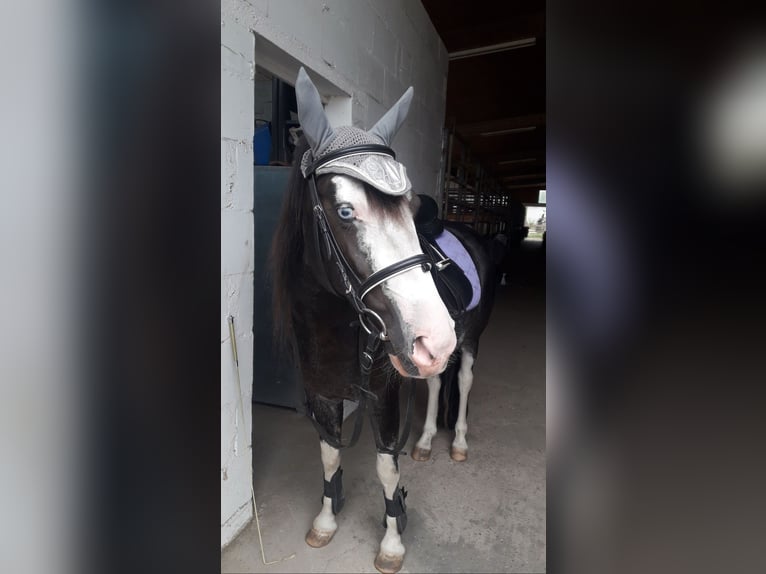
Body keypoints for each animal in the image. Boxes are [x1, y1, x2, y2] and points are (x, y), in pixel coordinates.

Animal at [269, 67, 496, 574]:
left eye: (409, 210)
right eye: (345, 211)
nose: (434, 338)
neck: (336, 325)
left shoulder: (385, 397)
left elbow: (386, 467)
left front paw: (392, 542)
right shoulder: (323, 394)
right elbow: (330, 457)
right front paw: (325, 521)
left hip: (469, 341)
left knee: (465, 381)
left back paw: (458, 443)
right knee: (436, 383)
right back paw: (428, 441)